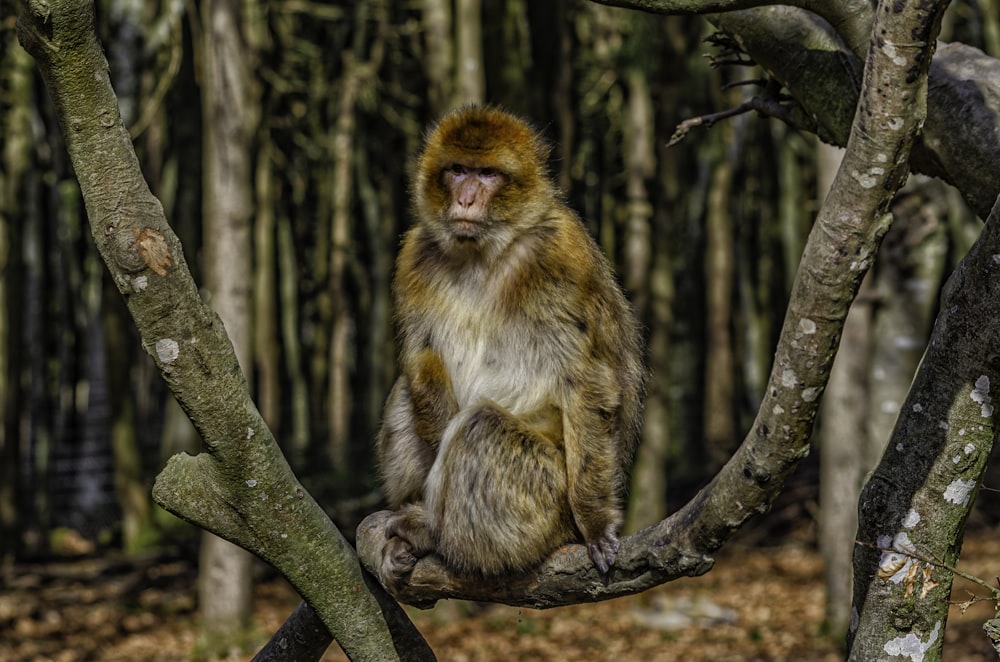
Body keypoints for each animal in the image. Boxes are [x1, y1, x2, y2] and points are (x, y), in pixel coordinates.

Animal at [376, 106, 648, 588]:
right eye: (457, 170)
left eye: (487, 174)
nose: (465, 199)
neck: (482, 252)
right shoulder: (413, 257)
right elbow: (421, 356)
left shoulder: (558, 257)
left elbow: (587, 380)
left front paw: (596, 523)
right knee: (410, 393)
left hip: (545, 500)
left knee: (481, 427)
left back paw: (432, 533)